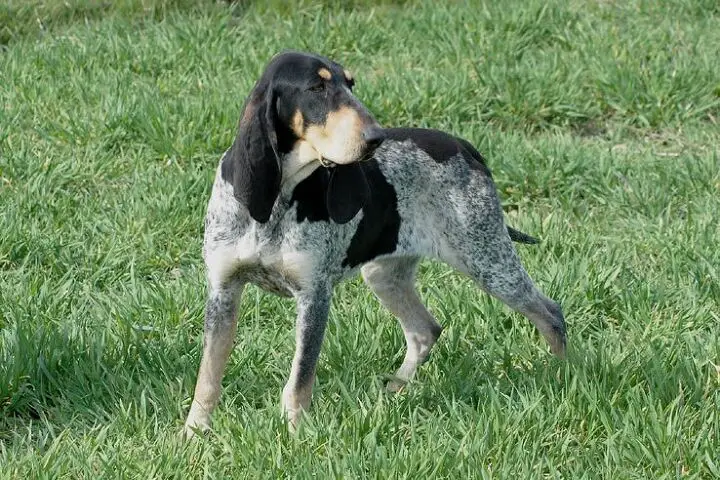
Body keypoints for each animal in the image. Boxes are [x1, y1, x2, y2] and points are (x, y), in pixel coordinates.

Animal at [184, 50, 568, 436]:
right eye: (317, 88)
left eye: (350, 84)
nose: (376, 136)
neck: (280, 197)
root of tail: (465, 148)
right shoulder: (223, 290)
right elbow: (208, 376)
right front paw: (194, 432)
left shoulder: (314, 297)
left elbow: (299, 380)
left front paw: (294, 433)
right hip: (385, 275)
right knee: (425, 331)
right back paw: (395, 390)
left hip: (488, 262)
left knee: (551, 313)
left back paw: (563, 375)